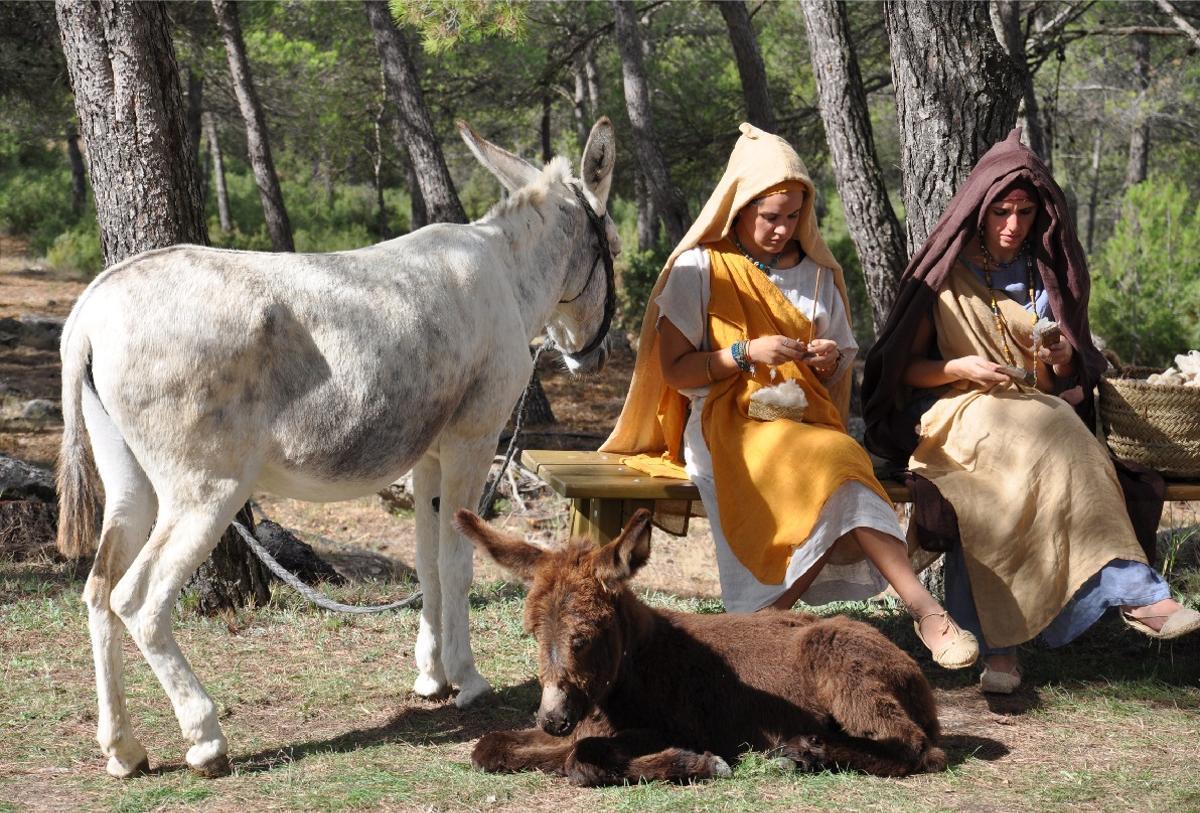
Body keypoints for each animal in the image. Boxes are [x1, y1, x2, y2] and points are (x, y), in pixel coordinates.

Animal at [451, 508, 945, 791]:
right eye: (532, 632)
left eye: (585, 635)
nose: (552, 720)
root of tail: (920, 683)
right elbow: (488, 747)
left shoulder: (672, 725)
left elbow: (581, 759)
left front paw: (697, 763)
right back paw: (804, 751)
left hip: (840, 659)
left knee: (917, 748)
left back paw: (806, 753)